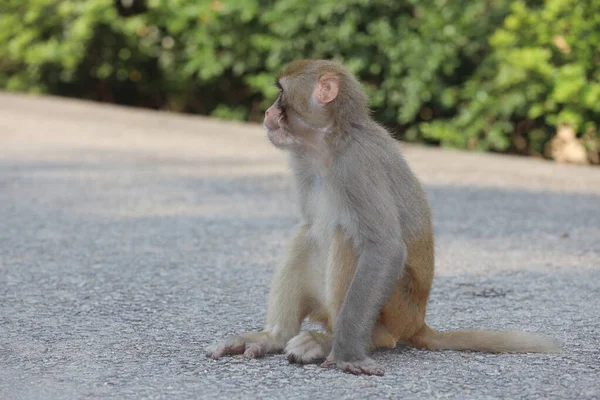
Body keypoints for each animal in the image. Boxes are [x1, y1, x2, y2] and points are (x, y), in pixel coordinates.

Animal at [205, 58, 556, 376]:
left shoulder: (357, 166)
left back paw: (344, 341)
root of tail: (418, 321)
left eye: (280, 93)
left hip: (397, 308)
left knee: (346, 236)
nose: (266, 112)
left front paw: (347, 353)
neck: (330, 142)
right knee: (307, 234)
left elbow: (384, 247)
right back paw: (275, 337)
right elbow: (310, 226)